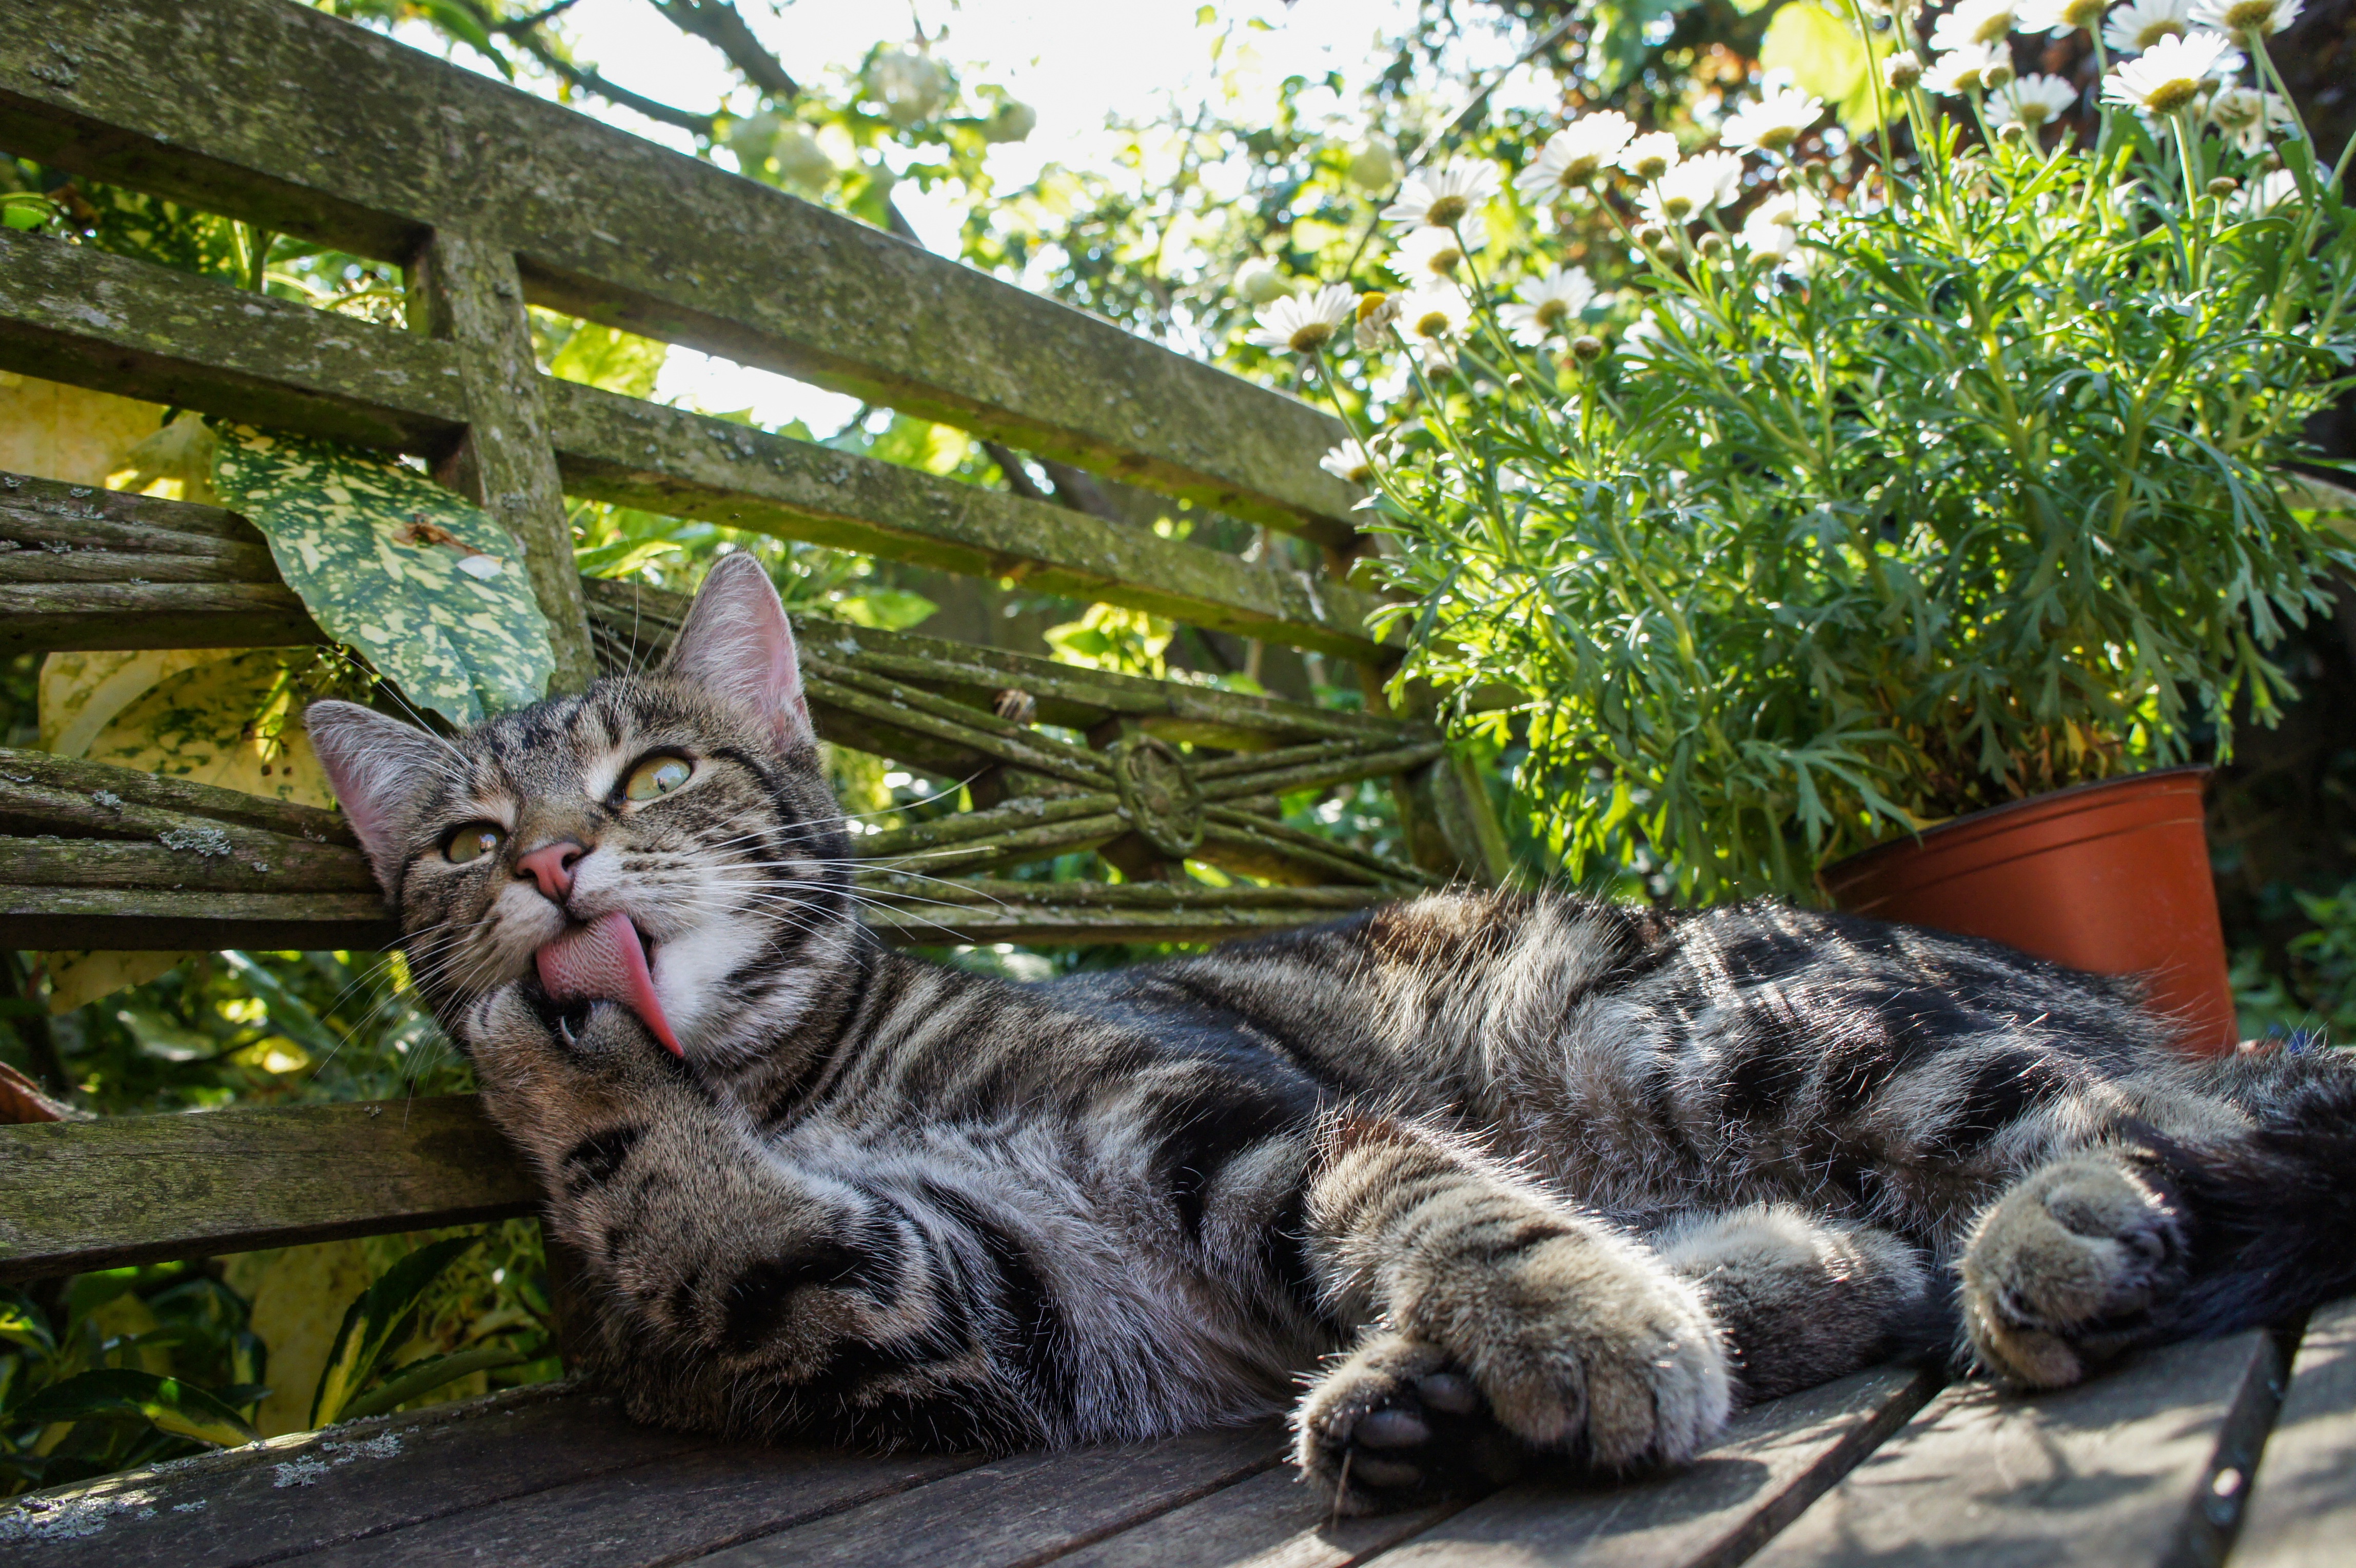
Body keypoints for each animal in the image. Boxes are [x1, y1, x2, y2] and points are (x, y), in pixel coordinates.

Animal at [304, 555, 2356, 1506]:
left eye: (657, 773)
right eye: (465, 839)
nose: (551, 866)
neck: (776, 1078)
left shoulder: (1211, 1113)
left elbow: (1422, 1192)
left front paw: (1570, 1309)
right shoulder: (948, 1315)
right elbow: (708, 1216)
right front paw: (547, 1055)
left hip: (1733, 1023)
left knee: (2133, 1119)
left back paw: (2058, 1226)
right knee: (1867, 1248)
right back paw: (1438, 1395)